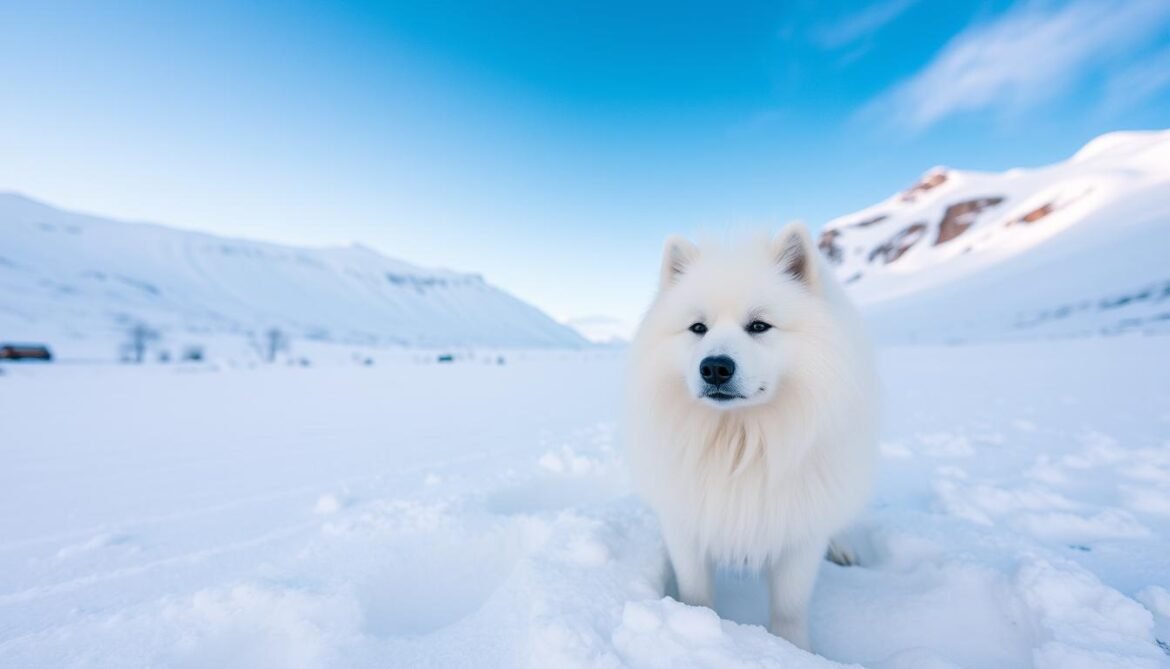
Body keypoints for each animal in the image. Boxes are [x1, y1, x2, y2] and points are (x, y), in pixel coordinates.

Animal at [627, 224, 875, 654]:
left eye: (759, 326)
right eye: (698, 328)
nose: (714, 367)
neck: (740, 442)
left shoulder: (798, 535)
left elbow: (790, 607)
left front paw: (795, 651)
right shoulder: (686, 524)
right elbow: (696, 591)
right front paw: (696, 626)